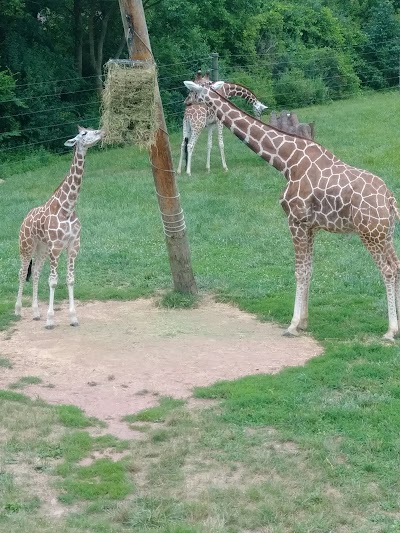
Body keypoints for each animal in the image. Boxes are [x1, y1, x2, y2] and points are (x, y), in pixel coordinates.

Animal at [15, 127, 105, 330]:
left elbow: (70, 279)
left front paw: (73, 318)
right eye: (84, 134)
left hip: (41, 248)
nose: (102, 132)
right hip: (26, 246)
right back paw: (18, 310)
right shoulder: (56, 247)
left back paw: (36, 313)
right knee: (22, 273)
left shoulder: (73, 246)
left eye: (91, 129)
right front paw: (50, 320)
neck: (68, 207)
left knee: (36, 273)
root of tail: (24, 219)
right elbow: (53, 281)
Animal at [184, 81, 400, 342]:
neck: (286, 161)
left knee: (387, 270)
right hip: (385, 233)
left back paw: (390, 330)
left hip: (369, 233)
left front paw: (293, 324)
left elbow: (299, 271)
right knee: (397, 266)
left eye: (194, 92)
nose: (186, 104)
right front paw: (304, 322)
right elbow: (308, 269)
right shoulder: (310, 225)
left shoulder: (294, 220)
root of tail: (390, 200)